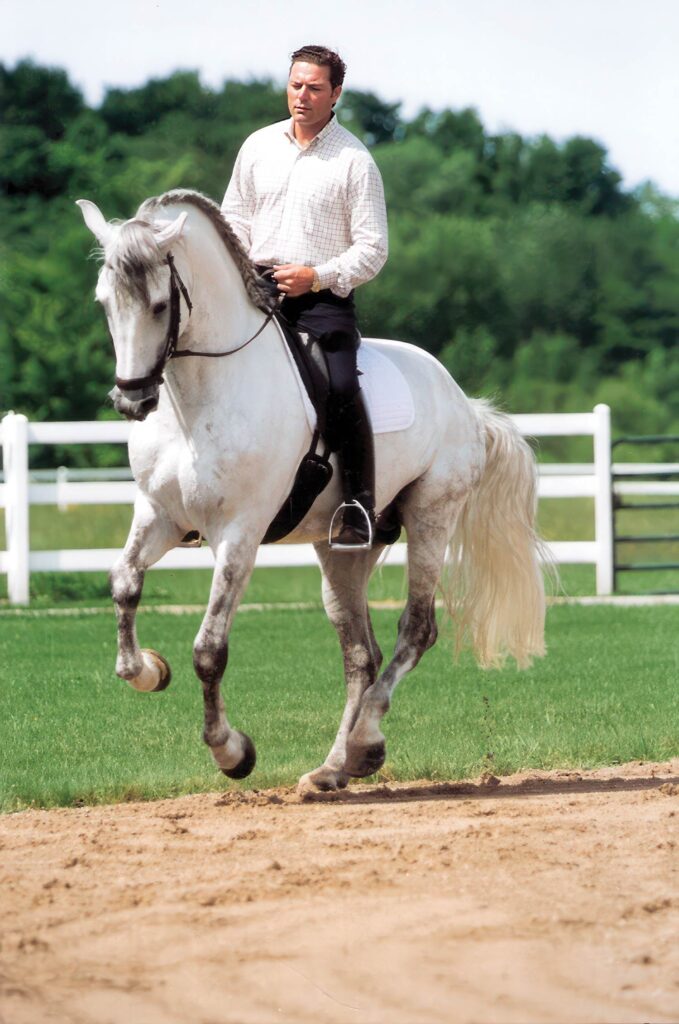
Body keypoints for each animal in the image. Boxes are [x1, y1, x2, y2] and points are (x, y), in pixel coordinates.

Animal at [77, 188, 547, 793]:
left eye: (160, 305)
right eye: (104, 302)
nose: (132, 400)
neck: (199, 403)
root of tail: (464, 402)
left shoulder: (240, 533)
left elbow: (209, 649)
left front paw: (232, 752)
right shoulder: (159, 515)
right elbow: (124, 583)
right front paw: (149, 670)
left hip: (432, 516)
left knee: (416, 630)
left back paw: (365, 740)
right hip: (342, 547)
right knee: (360, 653)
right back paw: (337, 766)